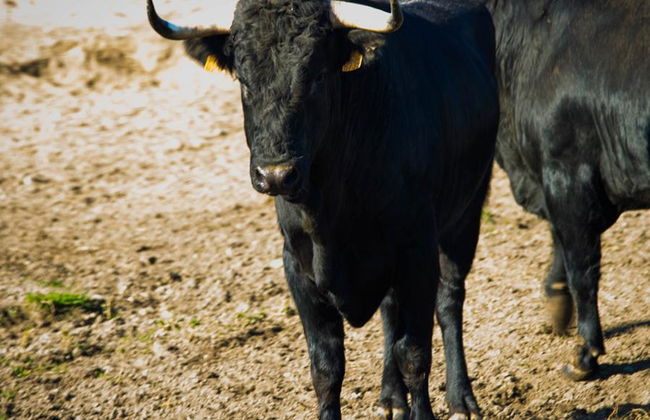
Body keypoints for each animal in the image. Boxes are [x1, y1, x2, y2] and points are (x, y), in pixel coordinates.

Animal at [148, 0, 499, 418]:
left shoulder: (417, 252)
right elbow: (326, 367)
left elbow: (414, 354)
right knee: (389, 312)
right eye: (244, 81)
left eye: (315, 76)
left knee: (449, 300)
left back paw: (461, 398)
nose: (276, 175)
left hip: (466, 214)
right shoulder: (298, 267)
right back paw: (391, 397)